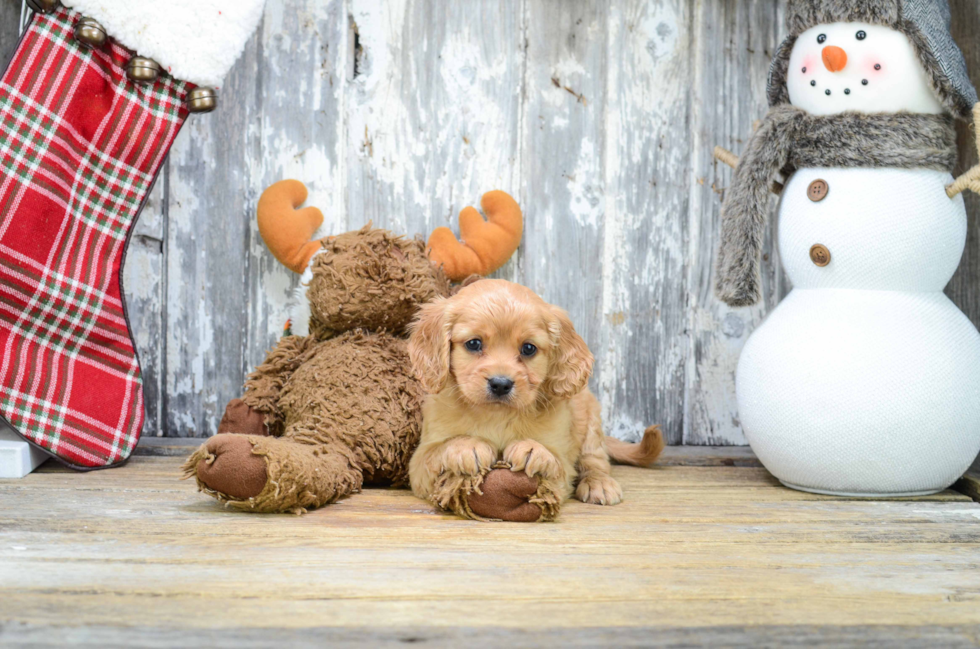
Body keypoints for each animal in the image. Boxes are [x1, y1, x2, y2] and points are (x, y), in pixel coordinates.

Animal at [406, 280, 660, 520]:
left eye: (528, 348)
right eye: (474, 343)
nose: (500, 384)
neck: (497, 416)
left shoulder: (563, 465)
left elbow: (555, 462)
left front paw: (533, 450)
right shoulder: (419, 463)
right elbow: (436, 451)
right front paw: (465, 446)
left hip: (591, 423)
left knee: (595, 461)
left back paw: (599, 483)